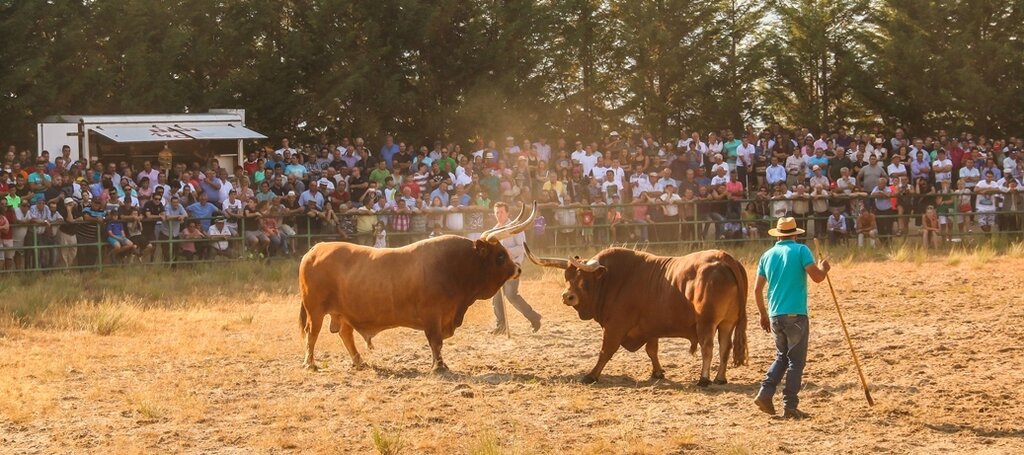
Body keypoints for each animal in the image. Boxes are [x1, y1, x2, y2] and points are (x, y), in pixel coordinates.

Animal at [296, 203, 536, 370]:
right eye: (500, 256)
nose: (517, 269)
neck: (455, 265)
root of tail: (315, 249)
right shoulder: (432, 316)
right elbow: (435, 342)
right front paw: (439, 366)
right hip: (315, 310)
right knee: (312, 333)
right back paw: (310, 363)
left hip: (342, 312)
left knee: (345, 333)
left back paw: (359, 362)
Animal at [524, 243, 749, 385]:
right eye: (567, 276)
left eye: (583, 279)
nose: (567, 296)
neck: (613, 279)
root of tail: (724, 258)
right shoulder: (651, 328)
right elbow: (652, 350)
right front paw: (657, 372)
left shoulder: (615, 326)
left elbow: (606, 350)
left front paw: (591, 375)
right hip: (727, 323)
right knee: (725, 348)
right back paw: (720, 378)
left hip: (707, 323)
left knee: (708, 348)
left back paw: (704, 379)